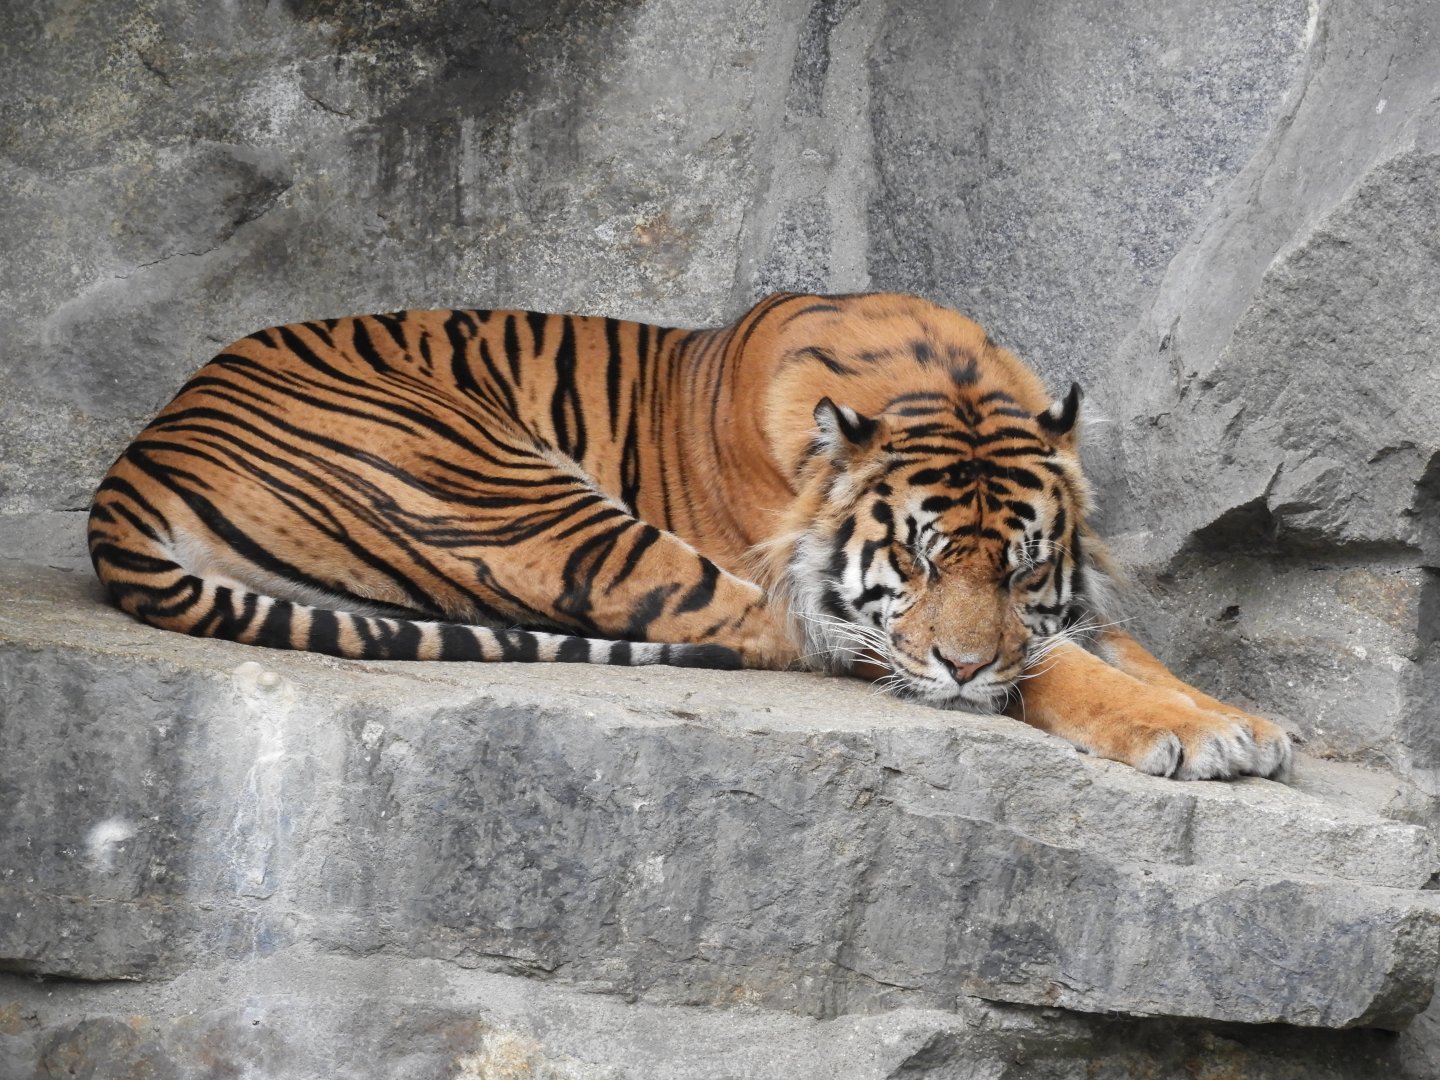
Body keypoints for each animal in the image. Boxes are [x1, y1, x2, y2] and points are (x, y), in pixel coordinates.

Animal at [88, 291, 1292, 781]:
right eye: (915, 557)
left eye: (1026, 564)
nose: (959, 664)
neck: (938, 382)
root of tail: (143, 448)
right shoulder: (878, 628)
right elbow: (1049, 670)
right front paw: (1187, 735)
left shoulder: (1061, 606)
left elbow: (1116, 650)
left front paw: (1243, 720)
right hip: (524, 494)